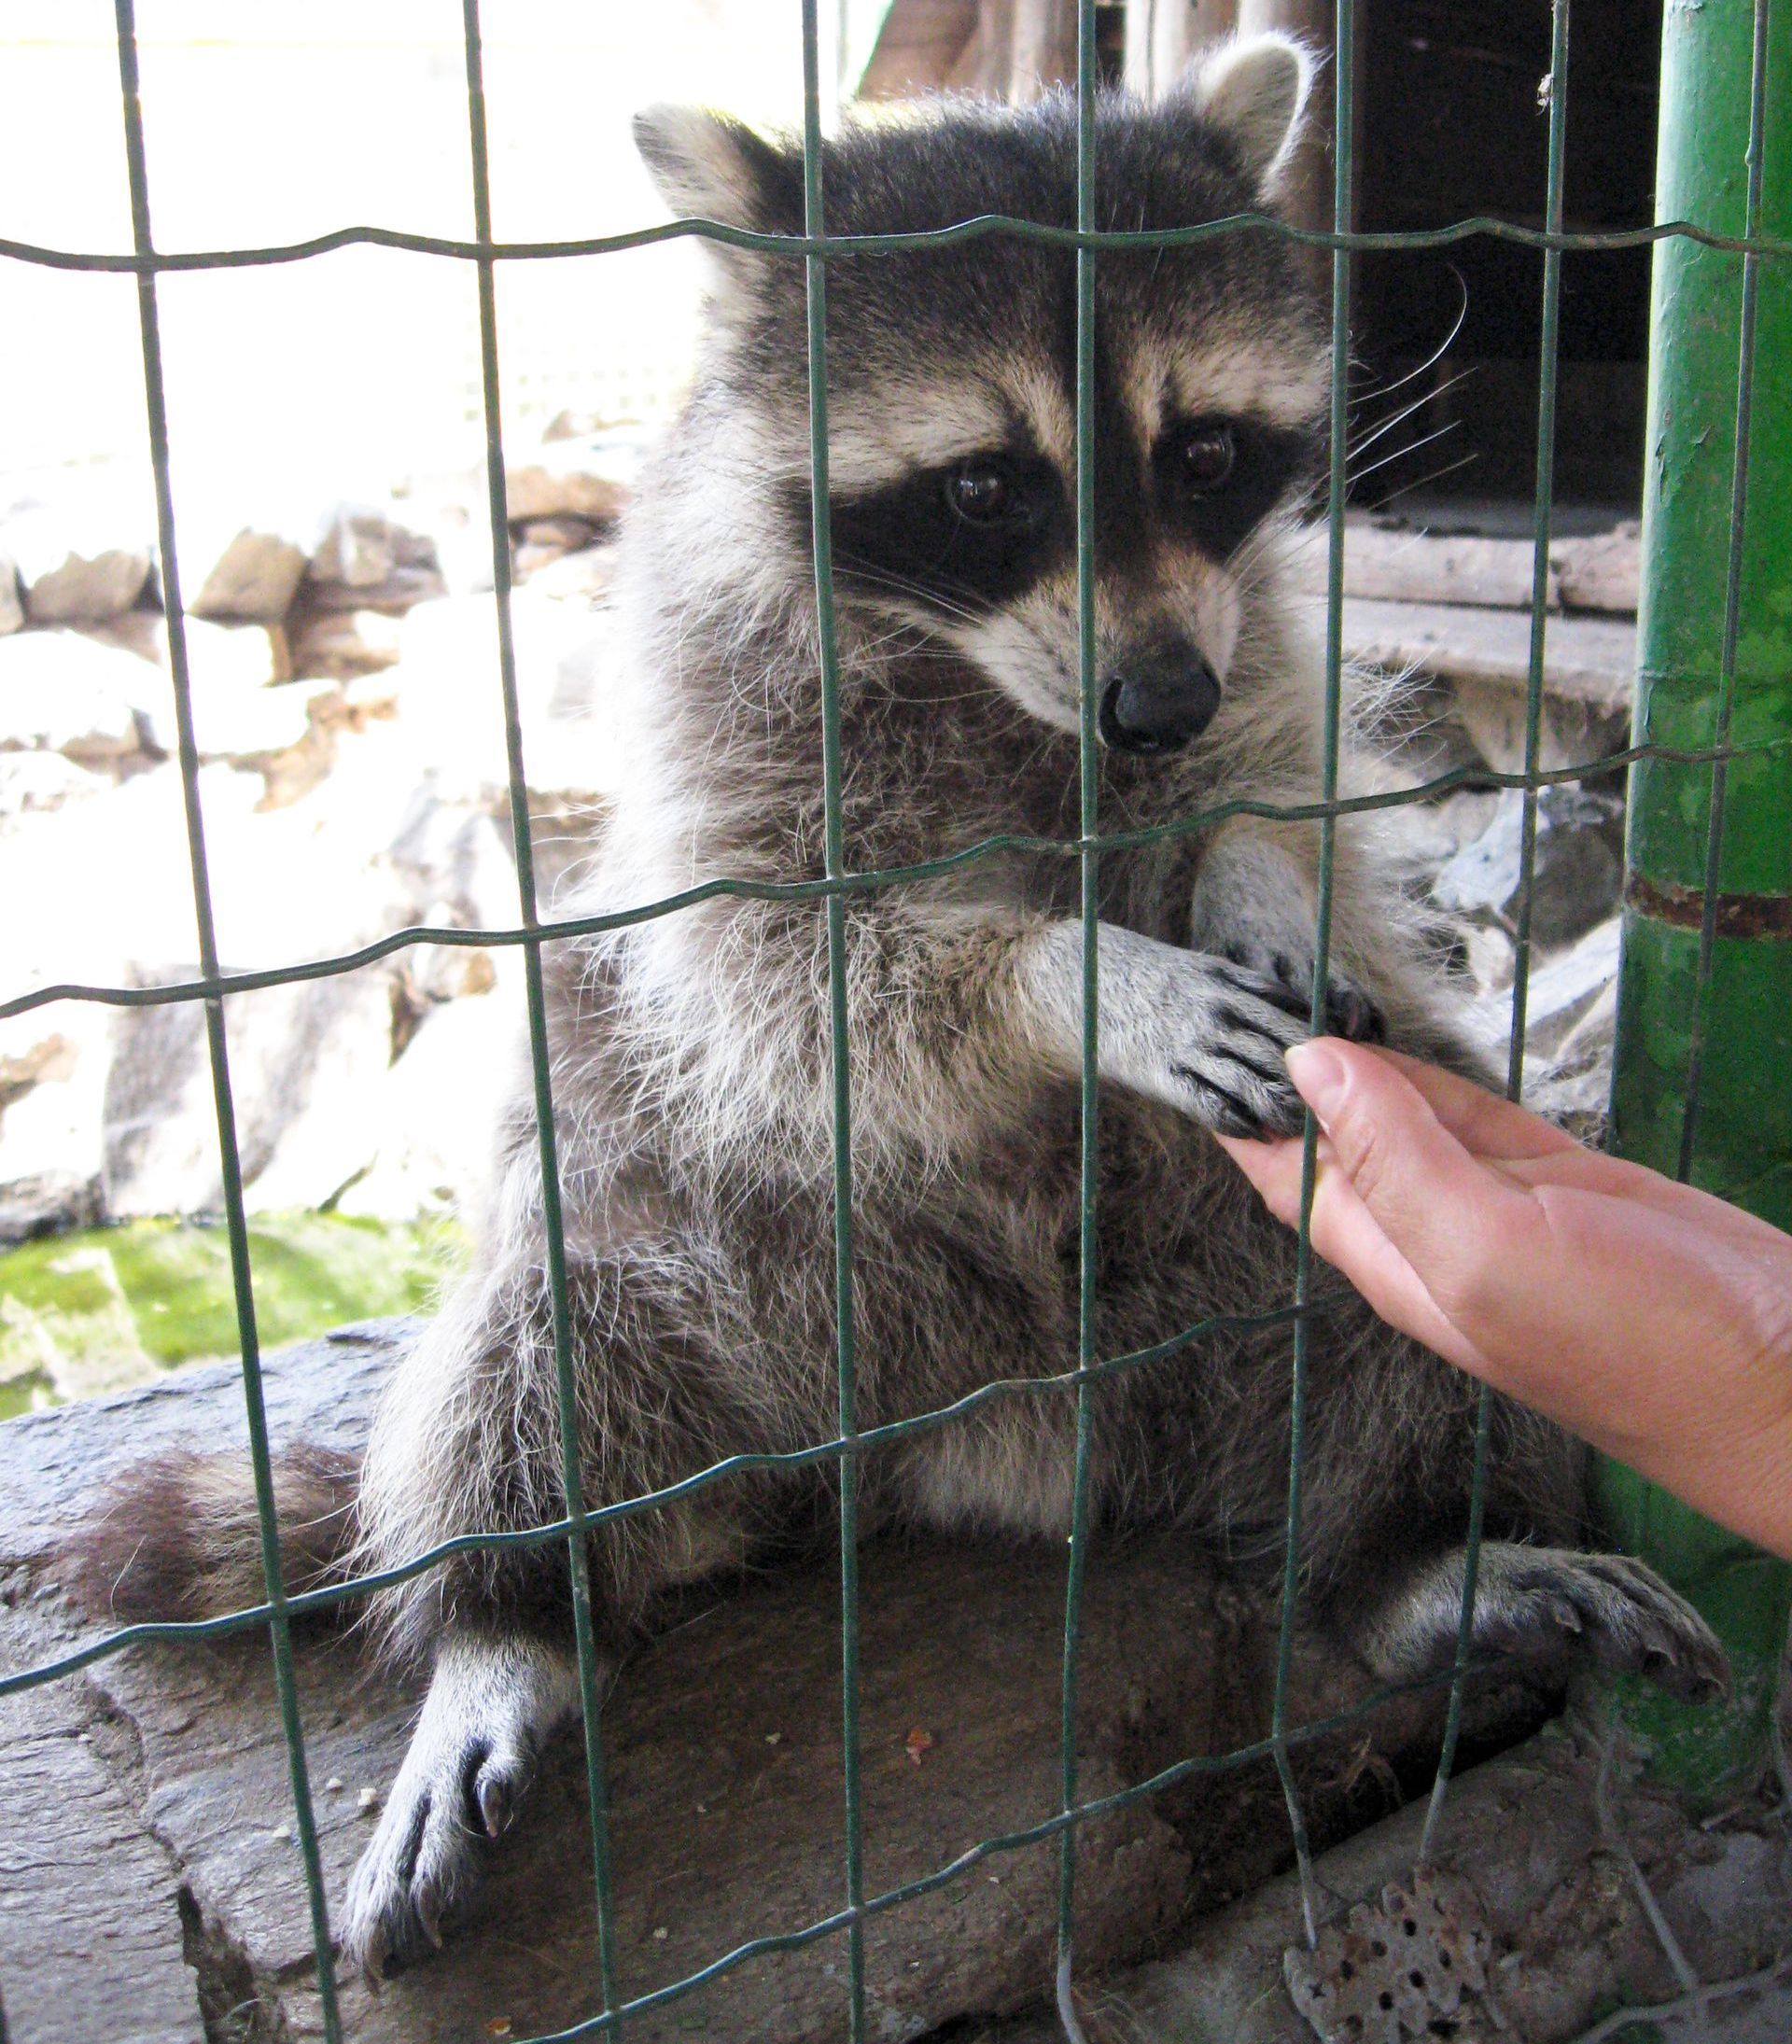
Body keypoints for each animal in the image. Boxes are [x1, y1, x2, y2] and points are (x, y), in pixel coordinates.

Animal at [77, 32, 1724, 1978]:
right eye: (989, 489)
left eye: (1207, 450)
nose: (1155, 703)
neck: (989, 678)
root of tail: (997, 1448)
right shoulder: (716, 712)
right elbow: (797, 974)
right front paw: (1074, 978)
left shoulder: (1259, 625)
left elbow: (1289, 777)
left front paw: (1246, 866)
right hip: (723, 1254)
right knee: (558, 1278)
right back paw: (513, 1615)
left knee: (1396, 1326)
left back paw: (1412, 1560)